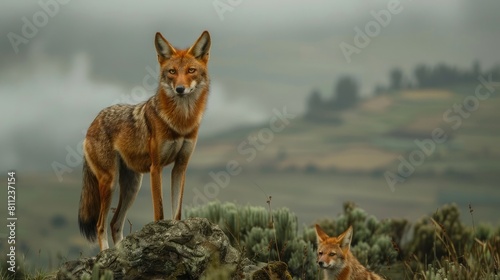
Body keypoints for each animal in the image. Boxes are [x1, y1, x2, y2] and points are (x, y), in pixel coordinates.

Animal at [78, 31, 211, 252]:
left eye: (191, 71)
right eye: (172, 72)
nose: (180, 89)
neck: (181, 121)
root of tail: (93, 122)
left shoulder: (180, 167)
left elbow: (176, 213)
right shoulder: (156, 168)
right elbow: (160, 212)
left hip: (132, 187)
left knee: (115, 223)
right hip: (110, 183)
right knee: (100, 225)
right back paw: (105, 254)